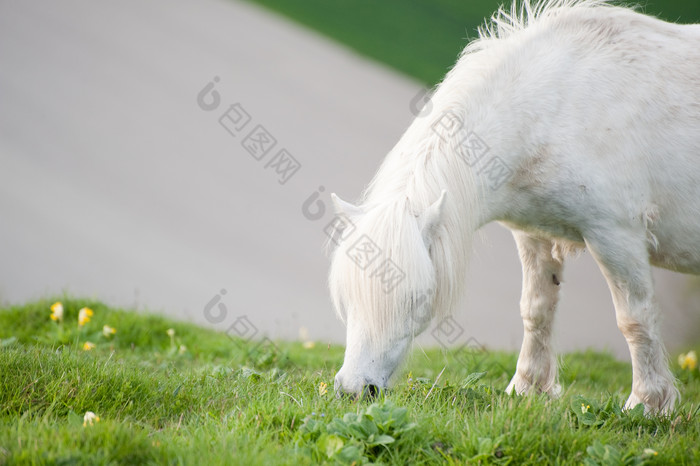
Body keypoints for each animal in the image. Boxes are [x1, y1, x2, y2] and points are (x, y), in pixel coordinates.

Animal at [330, 0, 700, 414]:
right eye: (346, 296)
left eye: (415, 298)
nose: (354, 389)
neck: (556, 108)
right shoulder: (534, 234)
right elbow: (536, 310)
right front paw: (527, 388)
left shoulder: (617, 237)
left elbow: (635, 318)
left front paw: (648, 405)